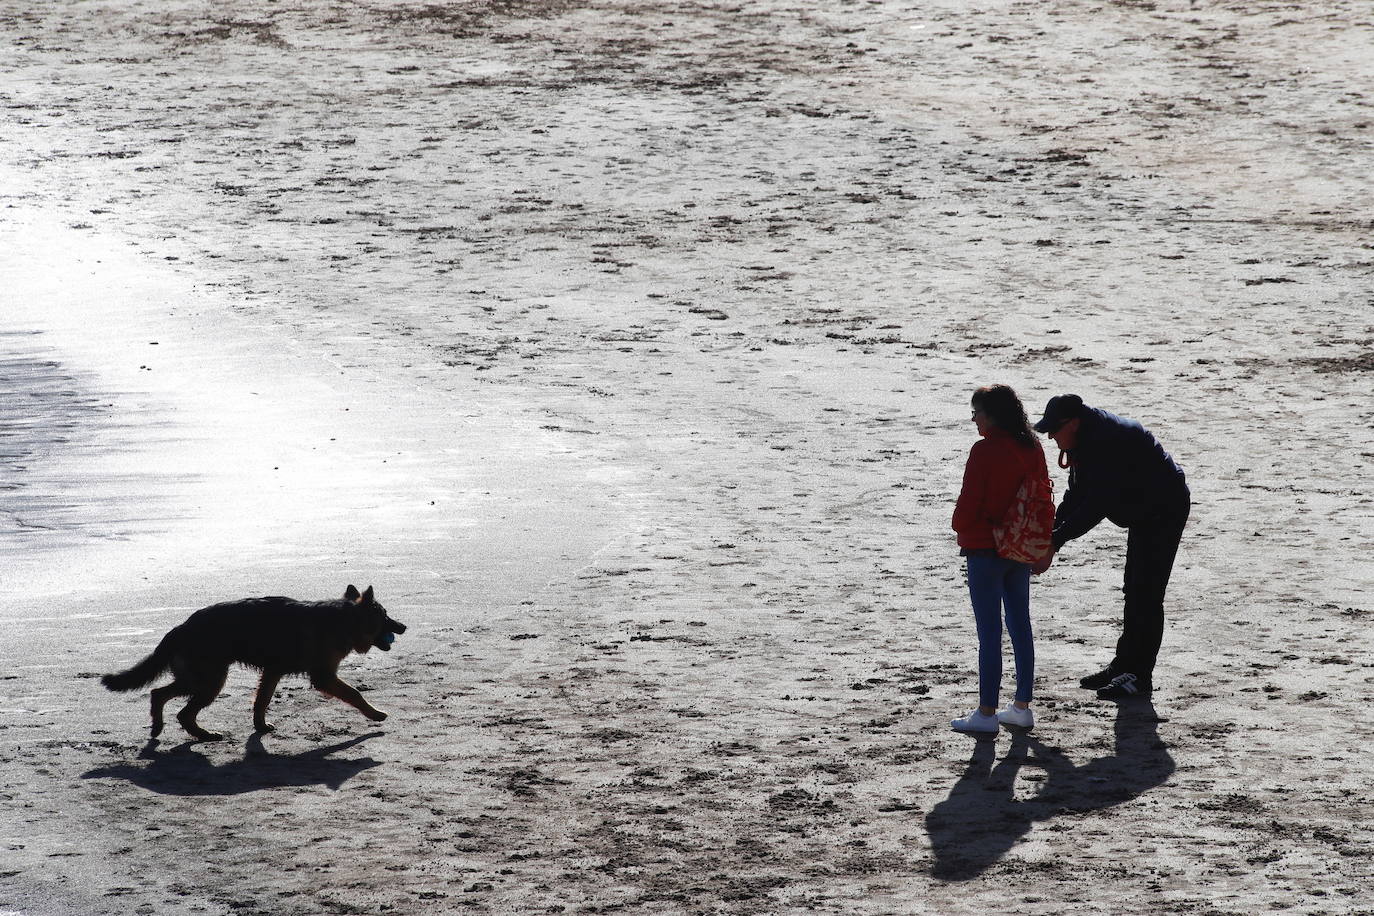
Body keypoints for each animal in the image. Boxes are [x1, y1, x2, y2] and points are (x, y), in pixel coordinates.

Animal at [102, 587, 403, 747]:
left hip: (196, 679)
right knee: (183, 712)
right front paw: (375, 714)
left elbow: (262, 700)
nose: (404, 626)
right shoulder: (324, 677)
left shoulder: (272, 672)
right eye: (386, 616)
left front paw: (259, 726)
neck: (345, 619)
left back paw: (158, 726)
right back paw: (203, 735)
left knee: (159, 694)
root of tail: (180, 628)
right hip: (210, 681)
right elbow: (355, 693)